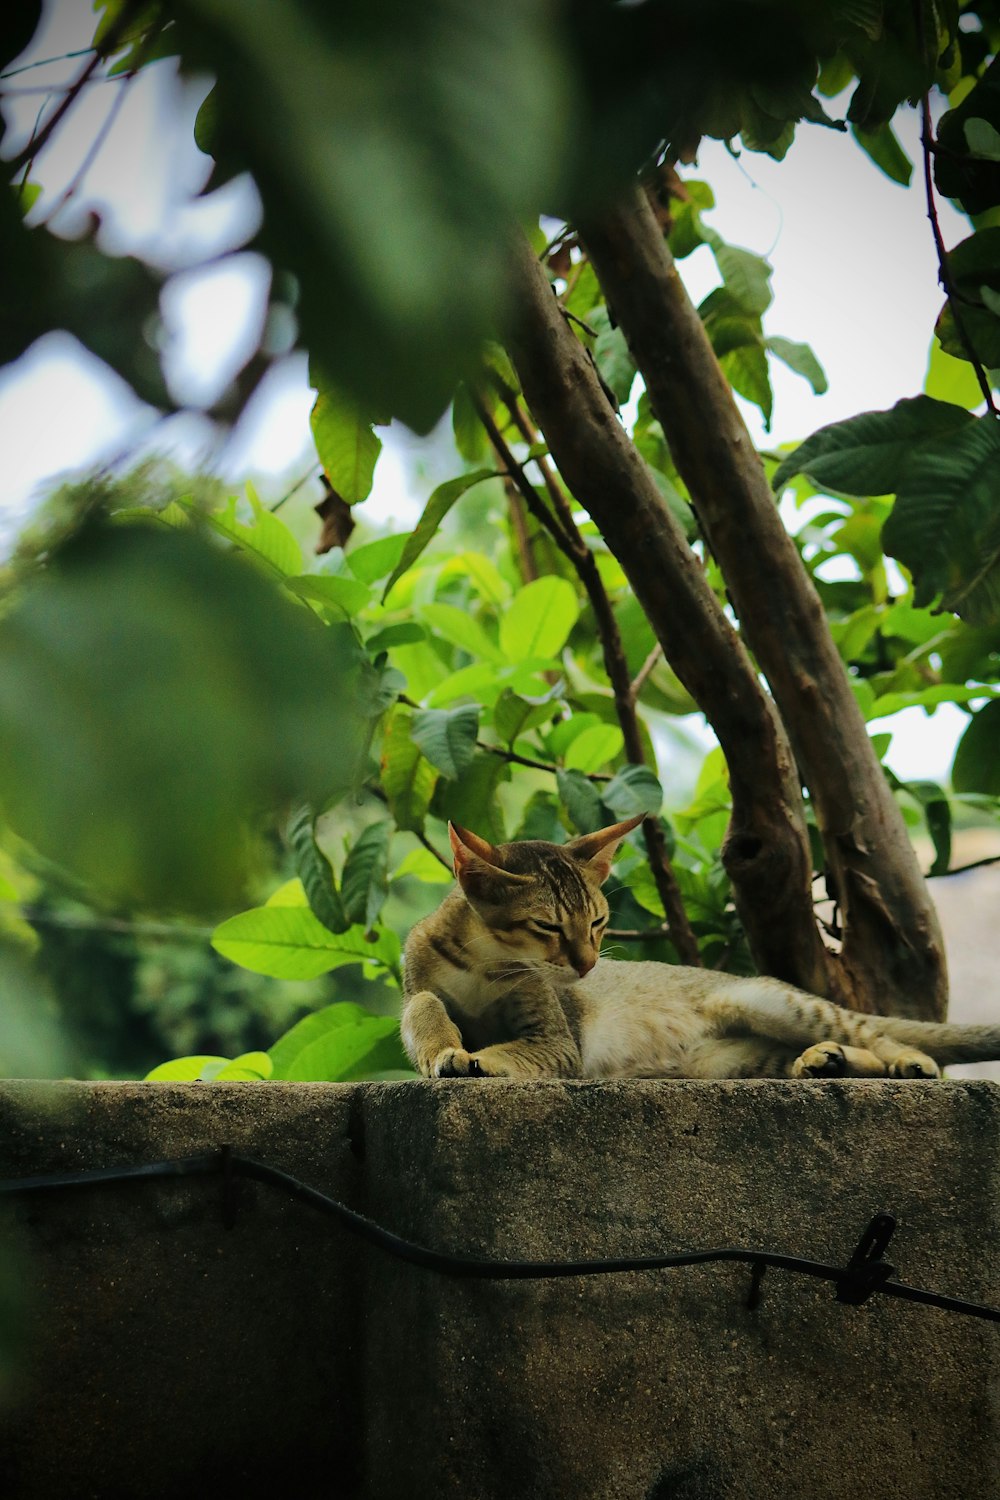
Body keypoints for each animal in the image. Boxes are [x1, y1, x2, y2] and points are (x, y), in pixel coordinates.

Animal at [401, 822, 1000, 1080]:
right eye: (547, 926)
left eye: (597, 922)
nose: (589, 965)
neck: (485, 964)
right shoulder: (420, 981)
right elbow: (424, 1005)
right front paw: (444, 1048)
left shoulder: (557, 1039)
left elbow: (526, 1051)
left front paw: (480, 1058)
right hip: (726, 1062)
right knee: (810, 1059)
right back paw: (823, 1063)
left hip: (773, 1003)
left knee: (880, 1038)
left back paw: (906, 1062)